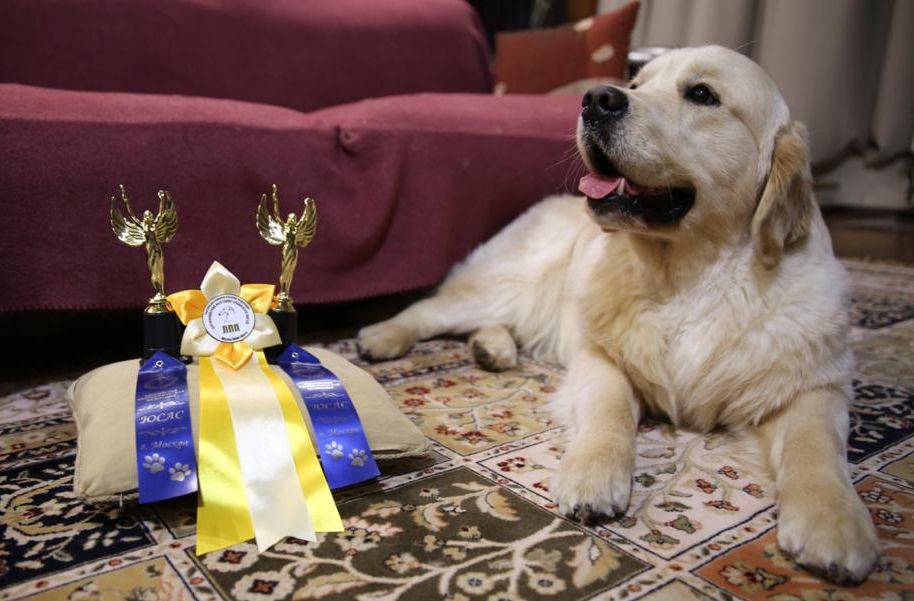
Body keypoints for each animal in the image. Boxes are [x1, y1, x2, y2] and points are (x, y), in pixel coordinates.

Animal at [354, 45, 876, 580]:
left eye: (702, 94)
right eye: (637, 83)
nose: (596, 100)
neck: (688, 277)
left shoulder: (815, 384)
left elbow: (816, 445)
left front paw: (832, 520)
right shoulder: (600, 358)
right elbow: (610, 411)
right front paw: (593, 473)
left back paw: (491, 349)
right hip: (505, 284)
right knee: (428, 309)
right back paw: (382, 337)